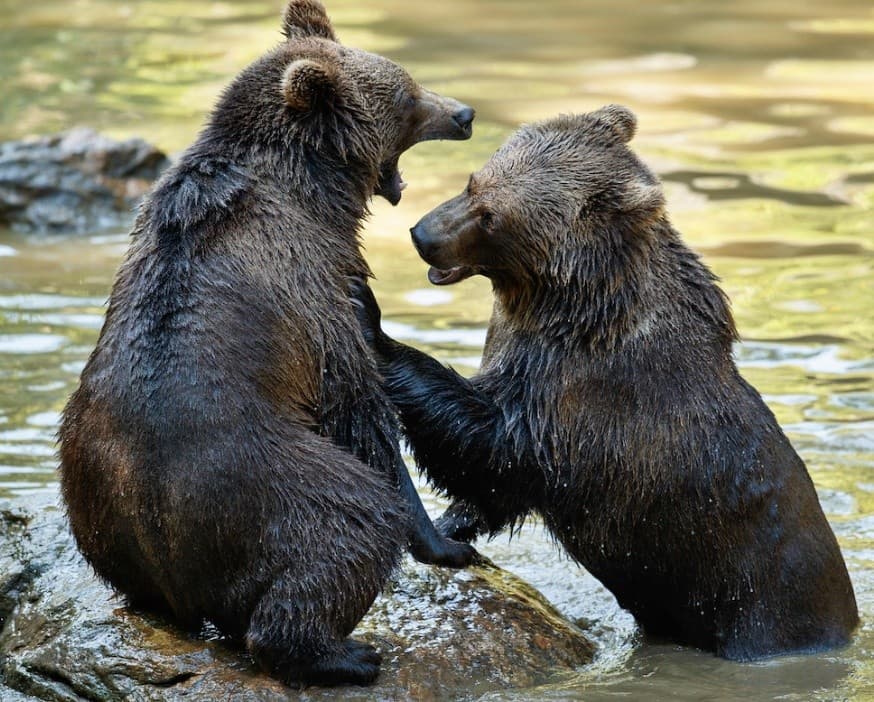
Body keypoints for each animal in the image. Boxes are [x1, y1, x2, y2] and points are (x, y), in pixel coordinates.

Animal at [58, 0, 477, 687]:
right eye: (408, 95)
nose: (464, 113)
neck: (311, 187)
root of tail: (170, 561)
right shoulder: (313, 282)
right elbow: (358, 406)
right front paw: (446, 541)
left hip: (90, 491)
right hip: (266, 482)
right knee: (349, 524)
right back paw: (344, 653)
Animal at [352, 105, 859, 661]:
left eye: (491, 215)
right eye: (472, 181)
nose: (423, 235)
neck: (568, 306)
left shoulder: (586, 394)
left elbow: (498, 445)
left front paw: (372, 321)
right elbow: (491, 485)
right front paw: (450, 527)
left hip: (759, 601)